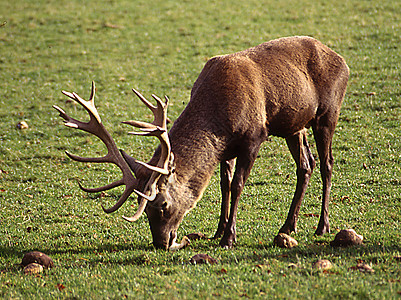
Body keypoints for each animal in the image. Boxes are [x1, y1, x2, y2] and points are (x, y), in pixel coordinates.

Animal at [52, 36, 346, 250]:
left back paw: (322, 226)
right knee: (305, 165)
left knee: (327, 164)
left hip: (328, 113)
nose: (161, 243)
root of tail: (341, 59)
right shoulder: (226, 149)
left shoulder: (254, 137)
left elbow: (237, 185)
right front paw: (218, 230)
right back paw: (288, 227)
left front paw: (229, 238)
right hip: (294, 126)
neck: (218, 117)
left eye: (162, 205)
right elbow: (224, 184)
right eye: (143, 209)